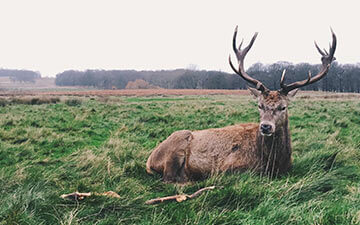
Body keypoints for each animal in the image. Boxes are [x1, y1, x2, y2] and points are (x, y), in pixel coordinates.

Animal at [145, 26, 336, 183]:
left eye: (283, 106)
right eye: (259, 105)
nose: (265, 126)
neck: (273, 163)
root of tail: (149, 160)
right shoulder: (228, 167)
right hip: (175, 149)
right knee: (169, 179)